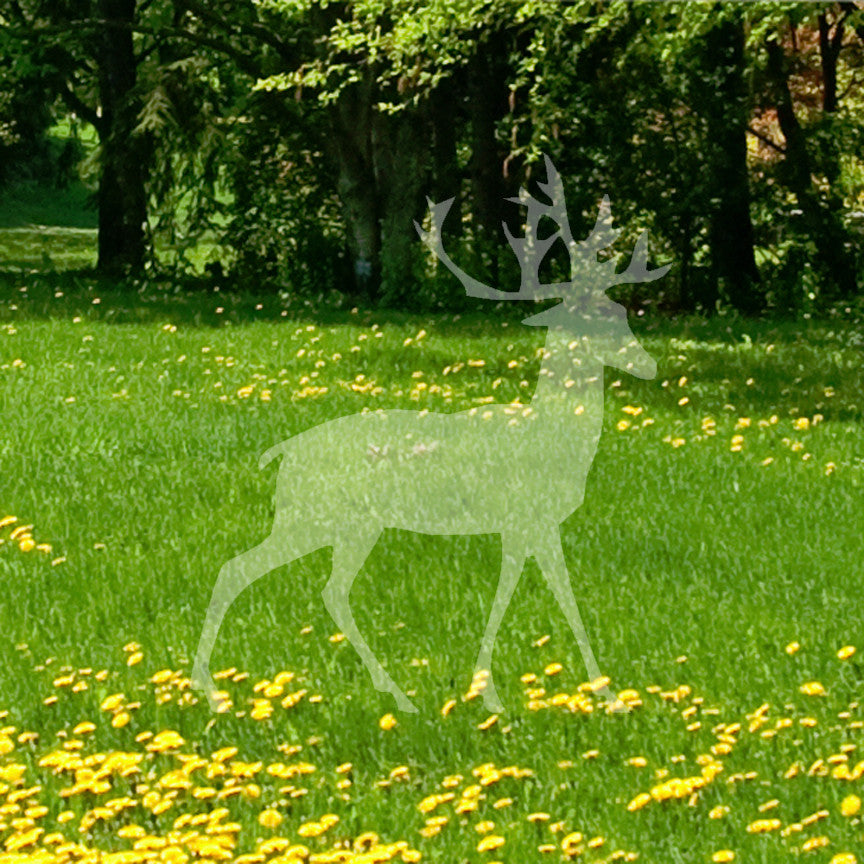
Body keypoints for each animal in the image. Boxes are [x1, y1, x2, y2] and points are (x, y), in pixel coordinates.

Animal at [192, 156, 669, 714]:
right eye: (594, 320)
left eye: (621, 313)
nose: (648, 364)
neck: (550, 438)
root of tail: (285, 452)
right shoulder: (524, 517)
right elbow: (530, 596)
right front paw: (495, 692)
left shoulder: (535, 523)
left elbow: (554, 597)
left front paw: (602, 693)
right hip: (312, 515)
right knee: (238, 570)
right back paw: (212, 690)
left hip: (351, 524)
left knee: (329, 590)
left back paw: (394, 692)